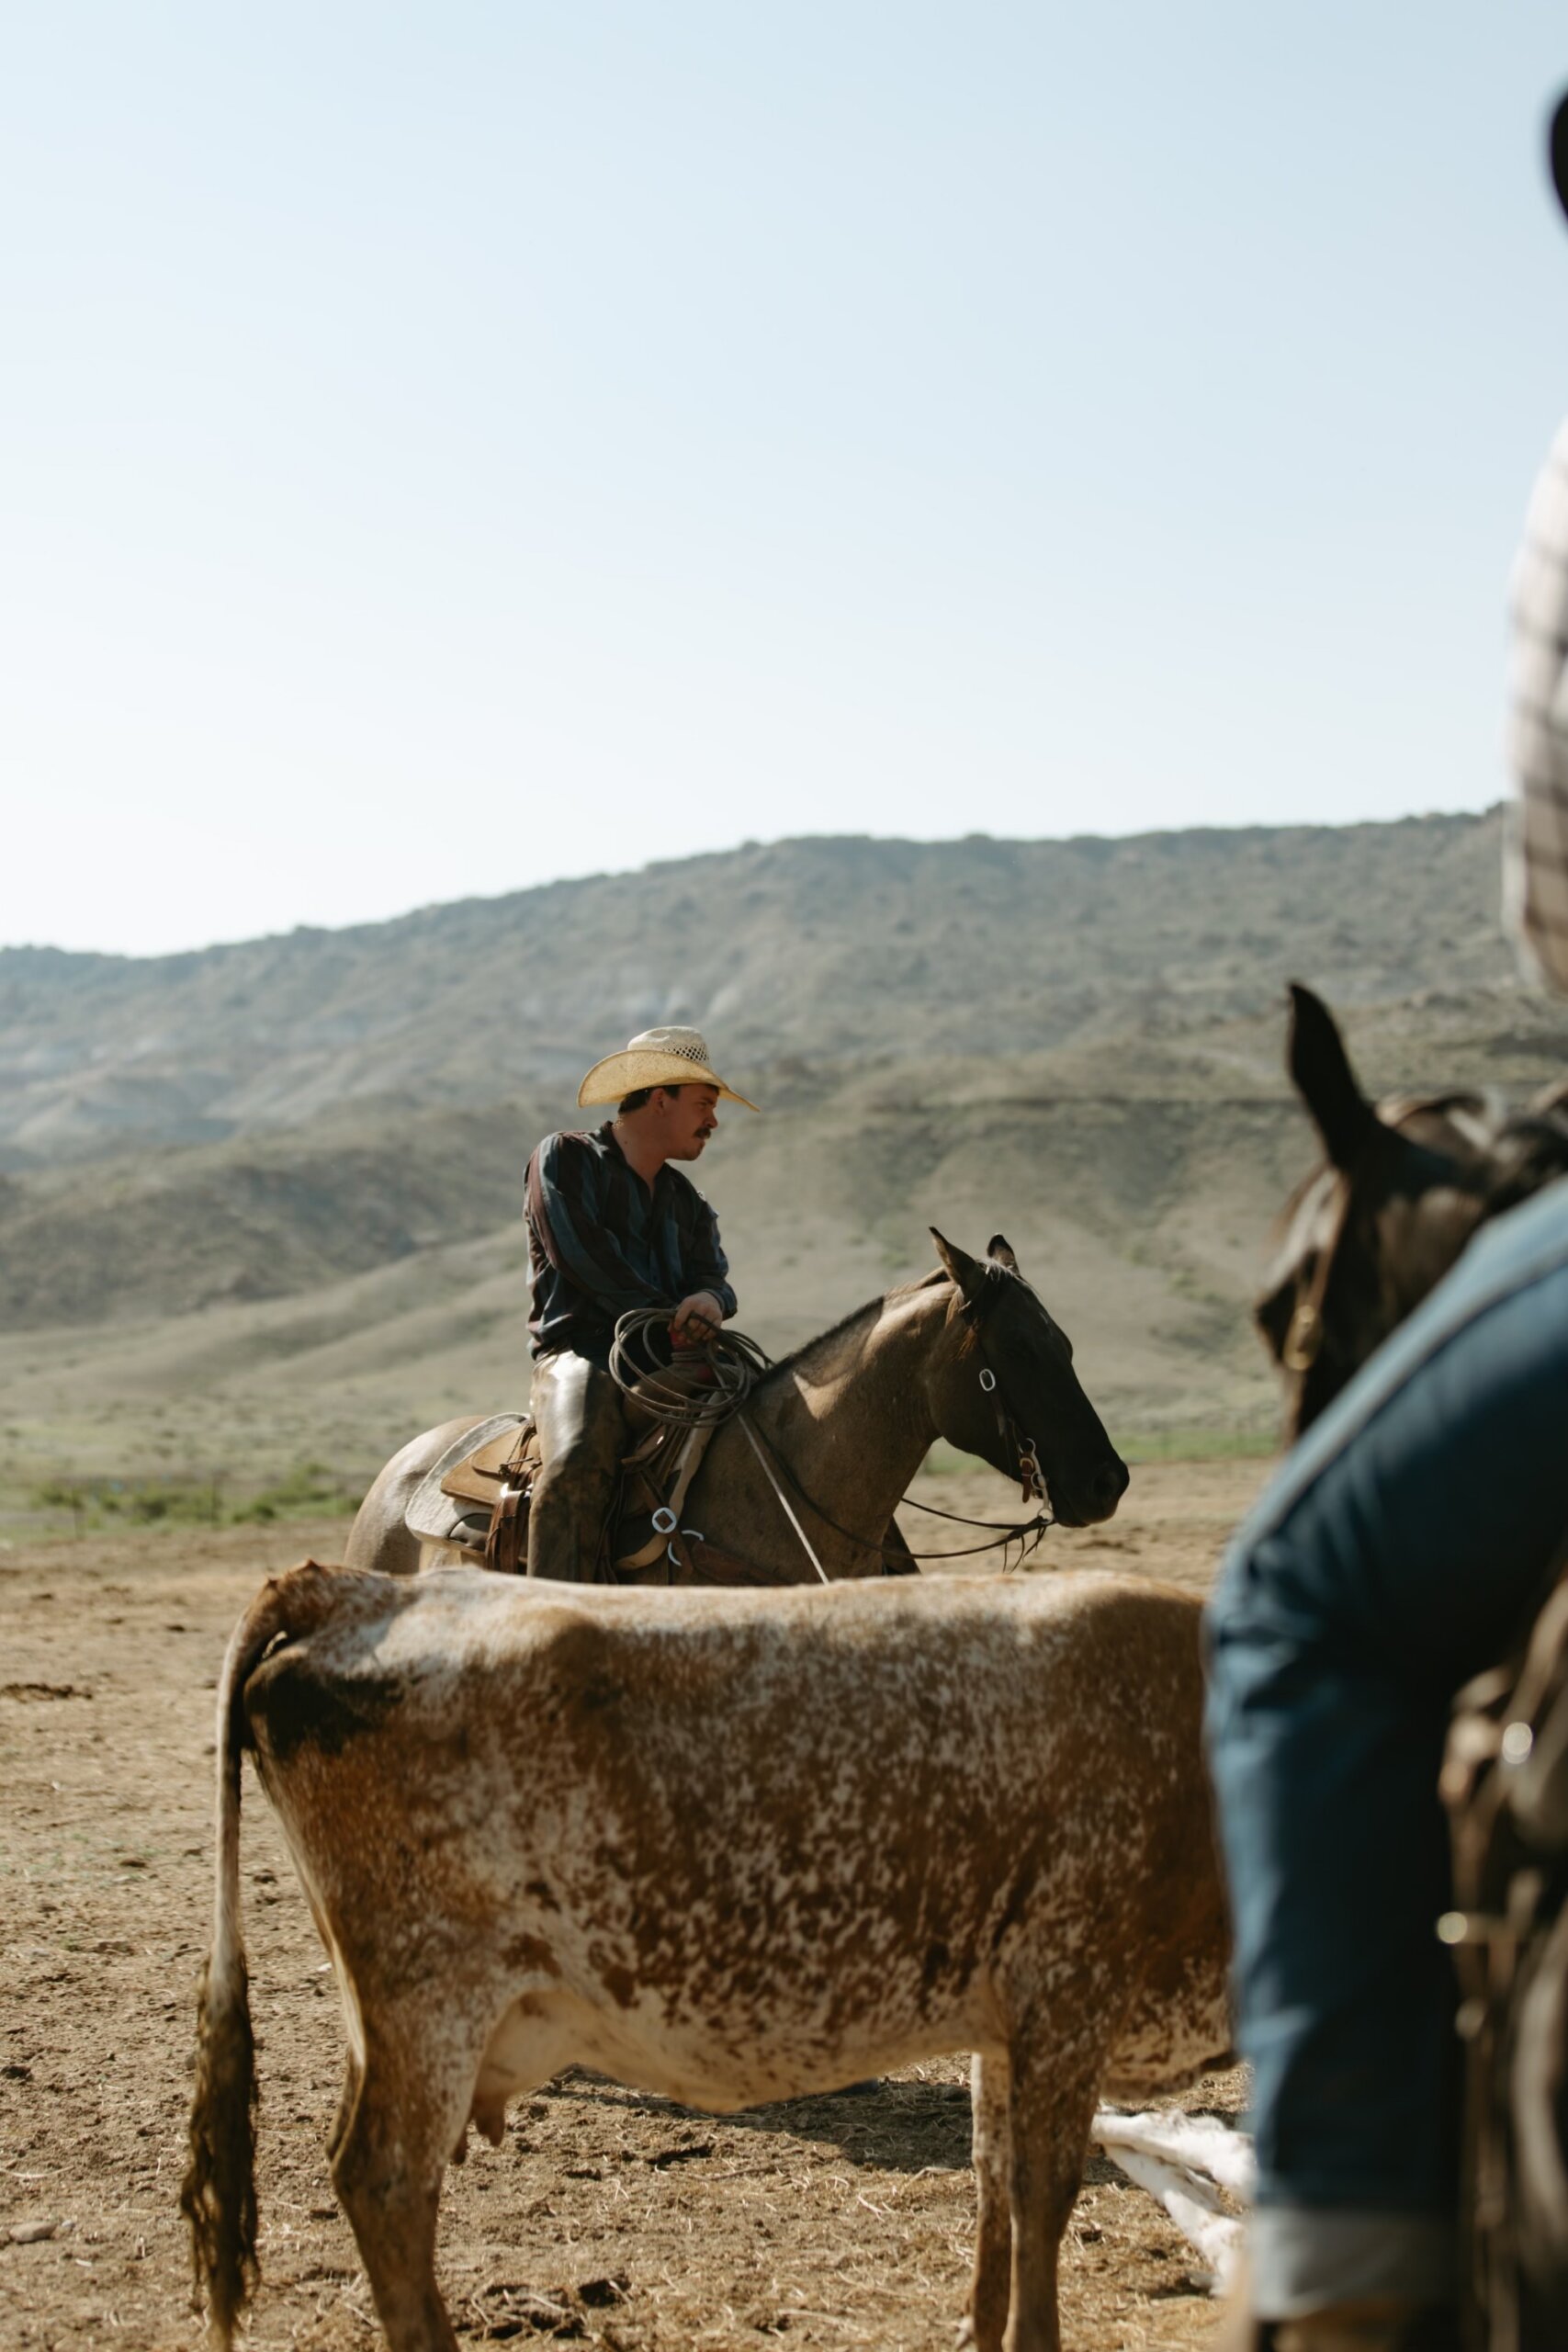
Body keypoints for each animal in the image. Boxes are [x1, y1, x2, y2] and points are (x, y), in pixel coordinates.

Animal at [184, 1562, 1230, 2352]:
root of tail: (363, 1588)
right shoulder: (1070, 1990)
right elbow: (1042, 2194)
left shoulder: (1008, 2019)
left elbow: (993, 2181)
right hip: (429, 2000)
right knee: (385, 2180)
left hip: (387, 2019)